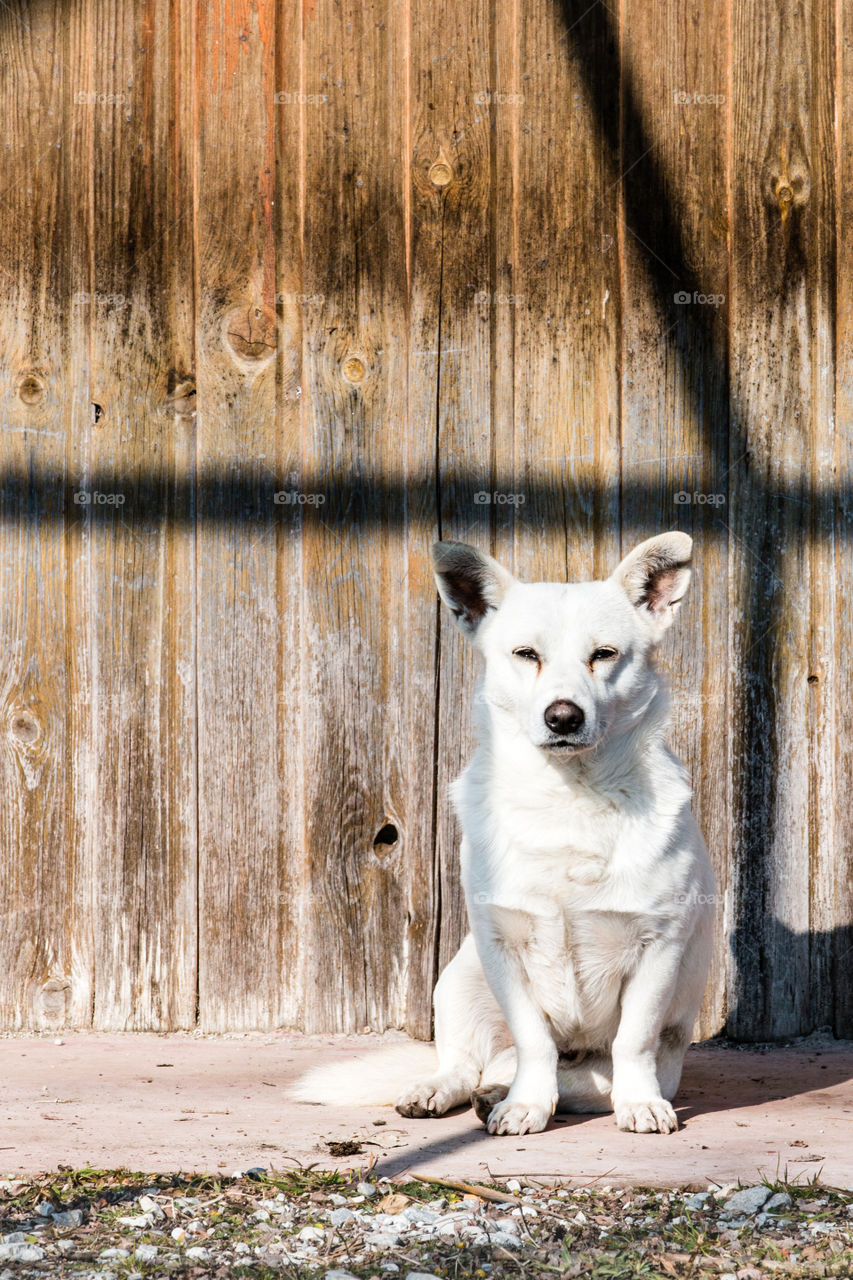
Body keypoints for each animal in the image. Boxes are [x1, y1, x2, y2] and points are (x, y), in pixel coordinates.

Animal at [289, 535, 712, 1136]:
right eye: (526, 655)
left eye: (604, 654)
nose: (563, 717)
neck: (568, 796)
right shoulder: (501, 948)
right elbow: (535, 1044)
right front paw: (526, 1105)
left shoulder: (659, 949)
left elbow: (632, 1043)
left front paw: (639, 1104)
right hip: (458, 979)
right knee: (472, 1061)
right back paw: (444, 1089)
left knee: (577, 1077)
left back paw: (504, 1091)